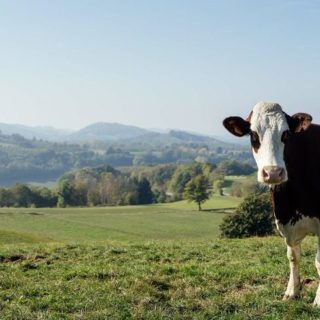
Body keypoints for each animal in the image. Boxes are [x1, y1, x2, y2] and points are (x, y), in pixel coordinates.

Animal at [222, 102, 320, 304]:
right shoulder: (286, 220)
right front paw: (292, 292)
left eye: (286, 134)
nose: (273, 172)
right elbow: (293, 257)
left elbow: (319, 262)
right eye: (253, 135)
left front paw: (318, 300)